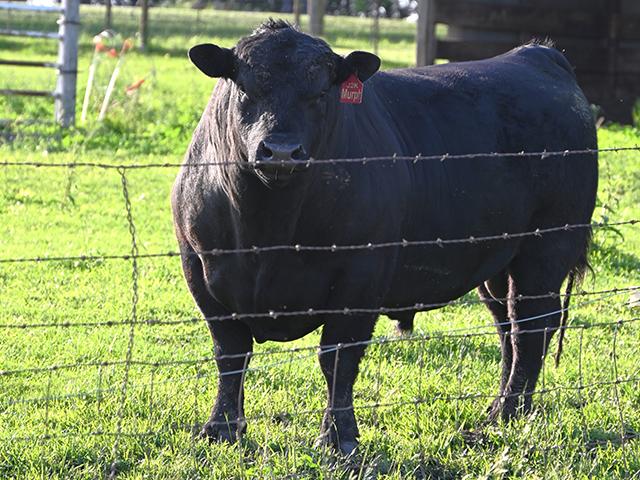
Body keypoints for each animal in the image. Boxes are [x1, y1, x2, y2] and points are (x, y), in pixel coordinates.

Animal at [171, 19, 598, 455]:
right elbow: (230, 354)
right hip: (498, 261)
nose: (282, 151)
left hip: (546, 250)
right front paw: (222, 428)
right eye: (244, 87)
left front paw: (339, 437)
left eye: (321, 92)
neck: (267, 230)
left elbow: (338, 358)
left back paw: (507, 414)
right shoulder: (200, 270)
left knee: (531, 325)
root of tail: (537, 53)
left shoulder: (361, 277)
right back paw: (503, 407)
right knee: (507, 327)